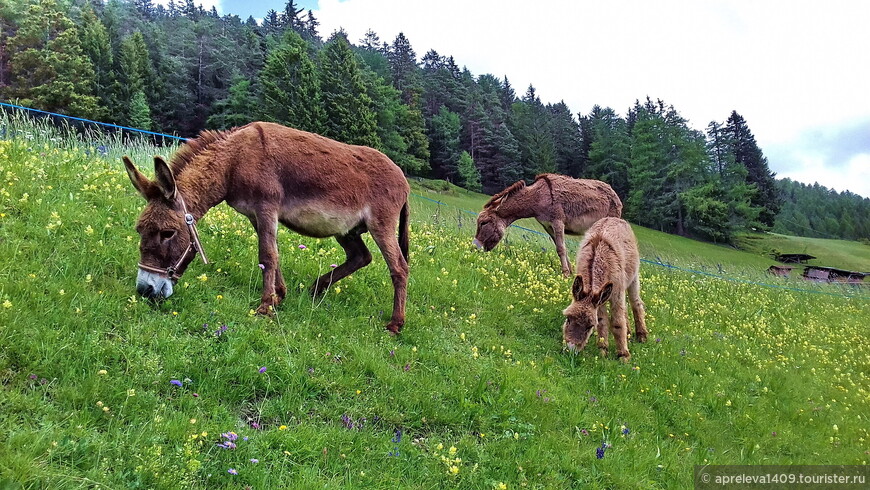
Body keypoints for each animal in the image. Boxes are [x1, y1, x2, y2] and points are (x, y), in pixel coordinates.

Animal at [564, 217, 648, 360]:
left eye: (590, 326)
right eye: (568, 319)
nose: (570, 351)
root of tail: (616, 218)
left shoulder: (615, 292)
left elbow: (617, 322)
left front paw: (623, 355)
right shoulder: (598, 297)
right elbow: (603, 321)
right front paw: (603, 350)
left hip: (633, 277)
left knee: (635, 304)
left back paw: (641, 336)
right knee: (625, 310)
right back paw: (628, 333)